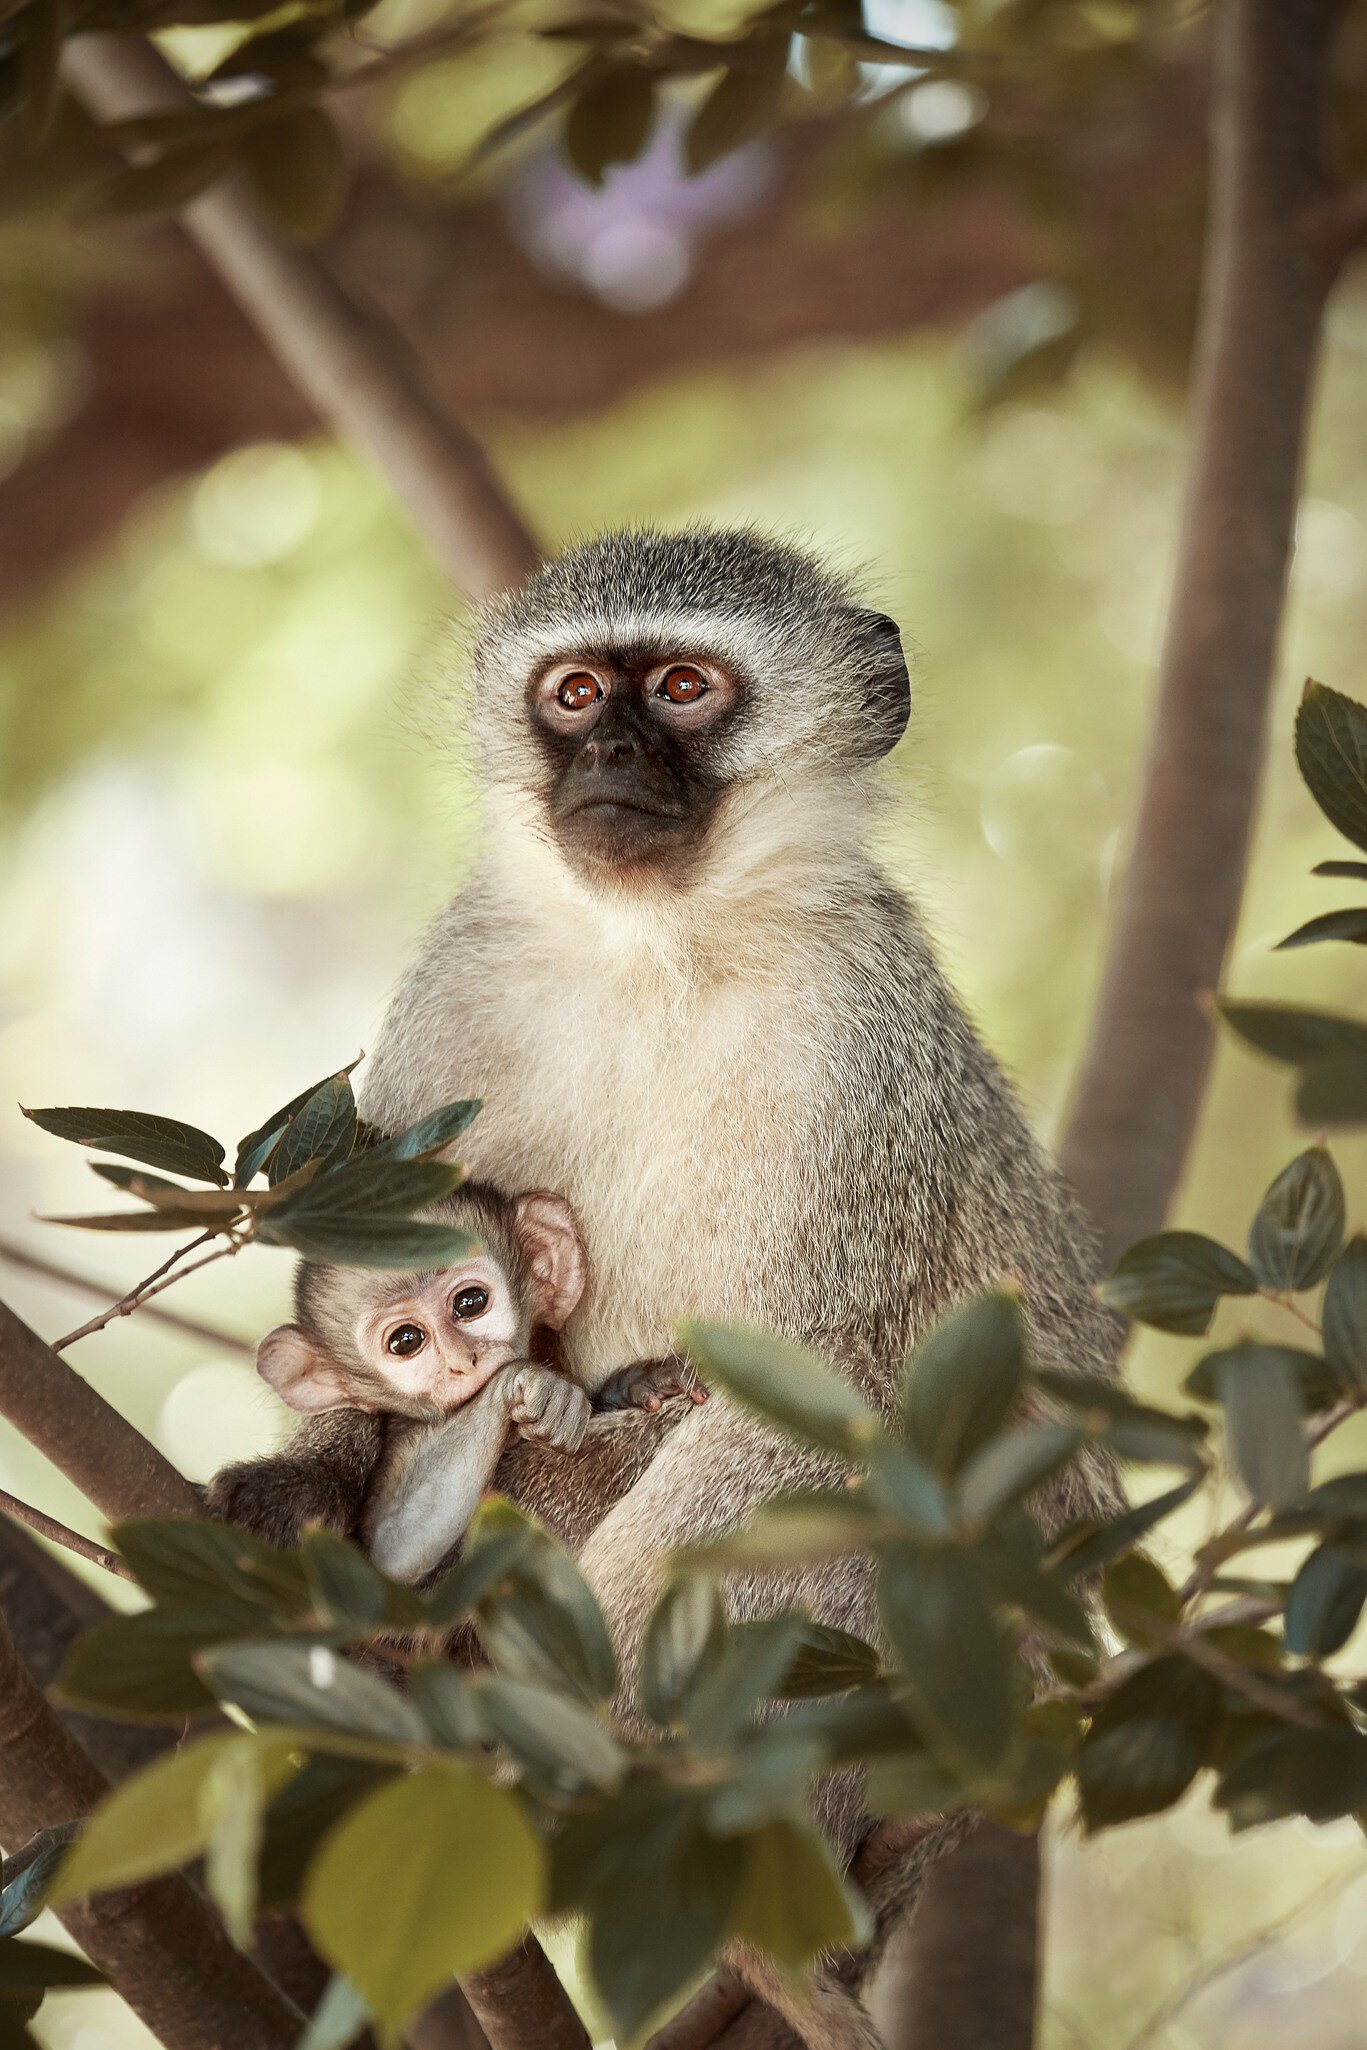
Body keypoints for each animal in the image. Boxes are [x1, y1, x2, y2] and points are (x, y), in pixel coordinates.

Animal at [207, 1182, 706, 1577]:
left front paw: (643, 1383)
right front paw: (533, 1387)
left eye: (470, 1302)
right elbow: (396, 1544)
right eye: (406, 1341)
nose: (463, 1361)